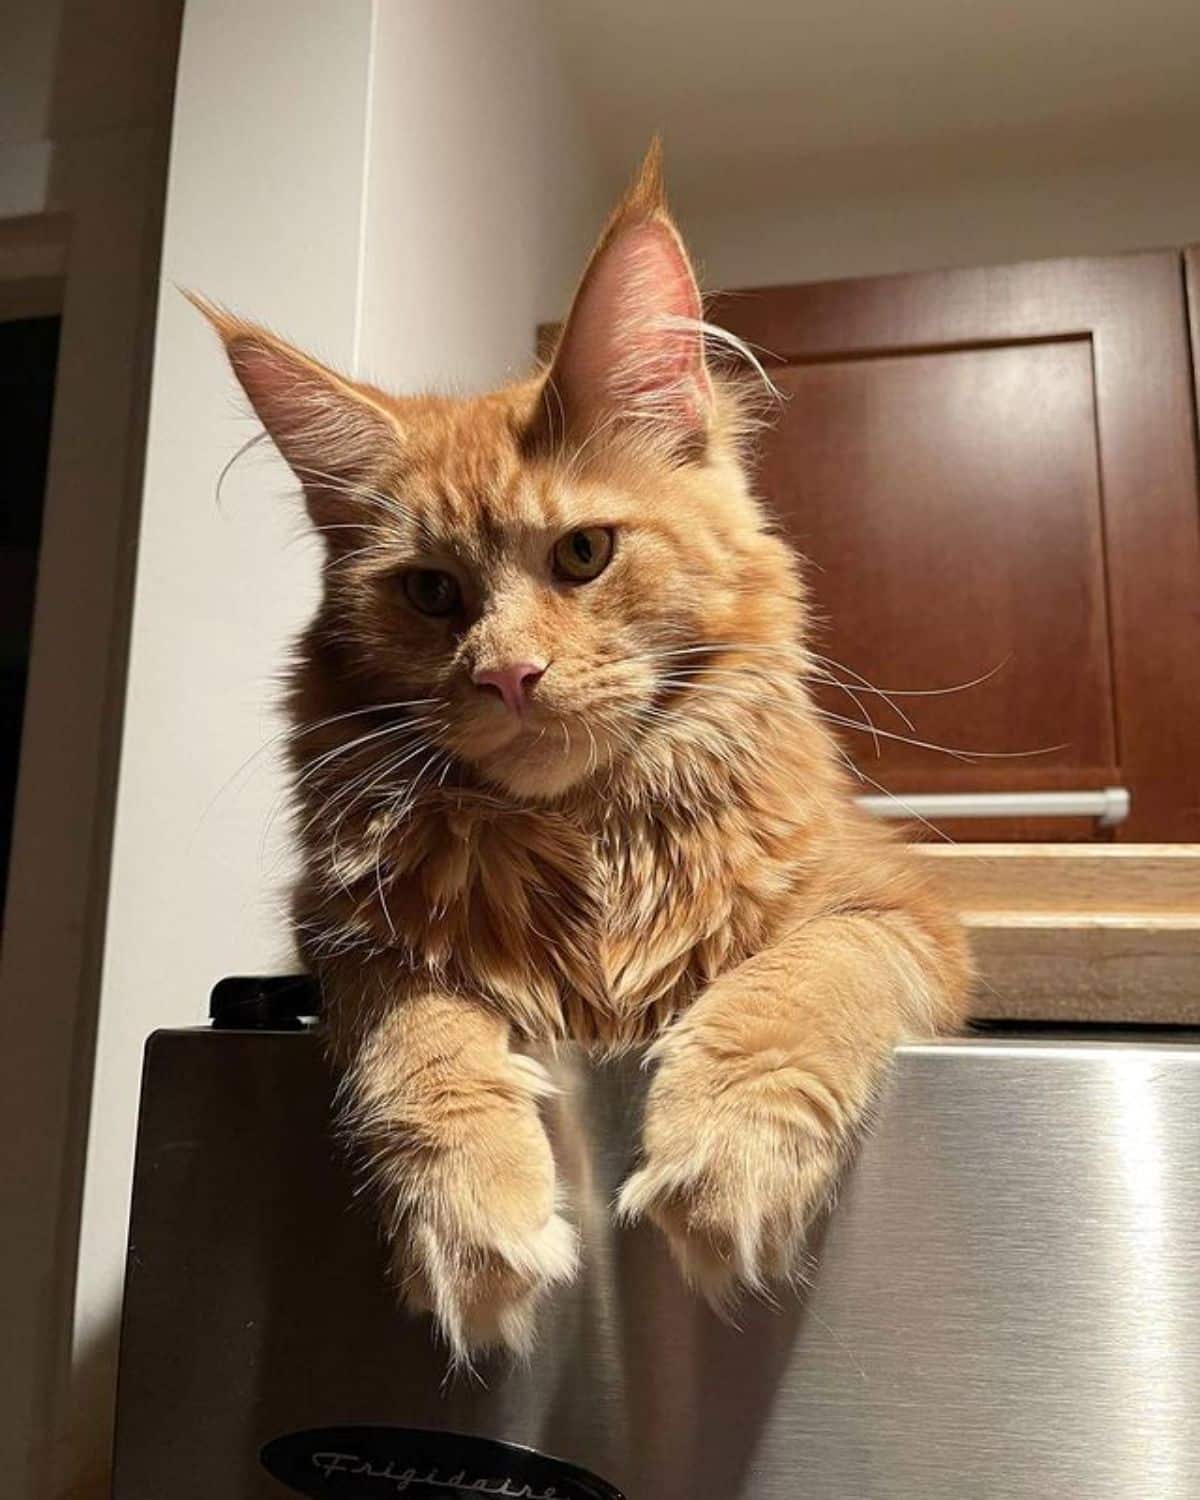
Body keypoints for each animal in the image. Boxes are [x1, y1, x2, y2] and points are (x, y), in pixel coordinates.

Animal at [195, 146, 966, 1368]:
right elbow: (417, 1046)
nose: (508, 675)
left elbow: (799, 980)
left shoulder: (900, 911)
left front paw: (729, 1156)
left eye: (584, 554)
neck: (595, 842)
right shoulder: (348, 938)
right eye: (431, 592)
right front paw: (469, 1216)